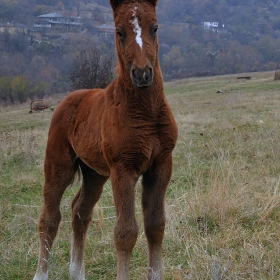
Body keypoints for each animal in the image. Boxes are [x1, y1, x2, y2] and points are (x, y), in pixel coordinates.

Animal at [32, 0, 177, 280]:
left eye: (155, 28)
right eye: (119, 31)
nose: (142, 74)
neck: (146, 113)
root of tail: (70, 98)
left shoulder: (161, 165)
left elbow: (156, 226)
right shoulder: (123, 169)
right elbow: (125, 233)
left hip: (94, 173)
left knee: (80, 211)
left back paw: (77, 272)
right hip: (58, 165)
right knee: (50, 217)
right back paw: (41, 274)